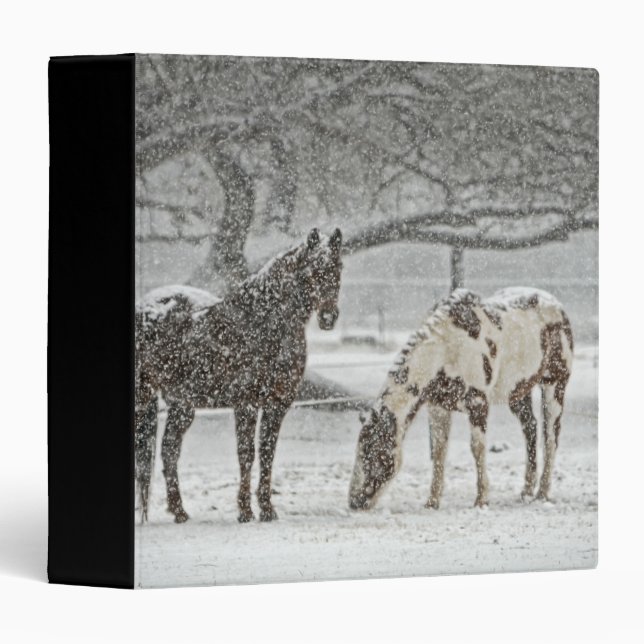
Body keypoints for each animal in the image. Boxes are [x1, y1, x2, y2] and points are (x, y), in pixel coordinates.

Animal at [135, 228, 343, 524]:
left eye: (338, 267)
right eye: (312, 270)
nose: (328, 317)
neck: (264, 323)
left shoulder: (277, 405)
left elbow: (267, 453)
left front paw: (267, 509)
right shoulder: (246, 404)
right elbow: (247, 454)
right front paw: (245, 510)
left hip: (182, 406)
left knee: (169, 450)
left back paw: (180, 511)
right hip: (145, 397)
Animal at [348, 287, 573, 511]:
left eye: (373, 452)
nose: (354, 502)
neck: (446, 349)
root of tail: (557, 306)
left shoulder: (478, 404)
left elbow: (477, 449)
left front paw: (482, 500)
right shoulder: (438, 407)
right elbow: (439, 451)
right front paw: (432, 502)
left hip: (554, 385)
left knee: (551, 437)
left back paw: (542, 494)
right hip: (518, 392)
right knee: (530, 429)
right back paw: (526, 491)